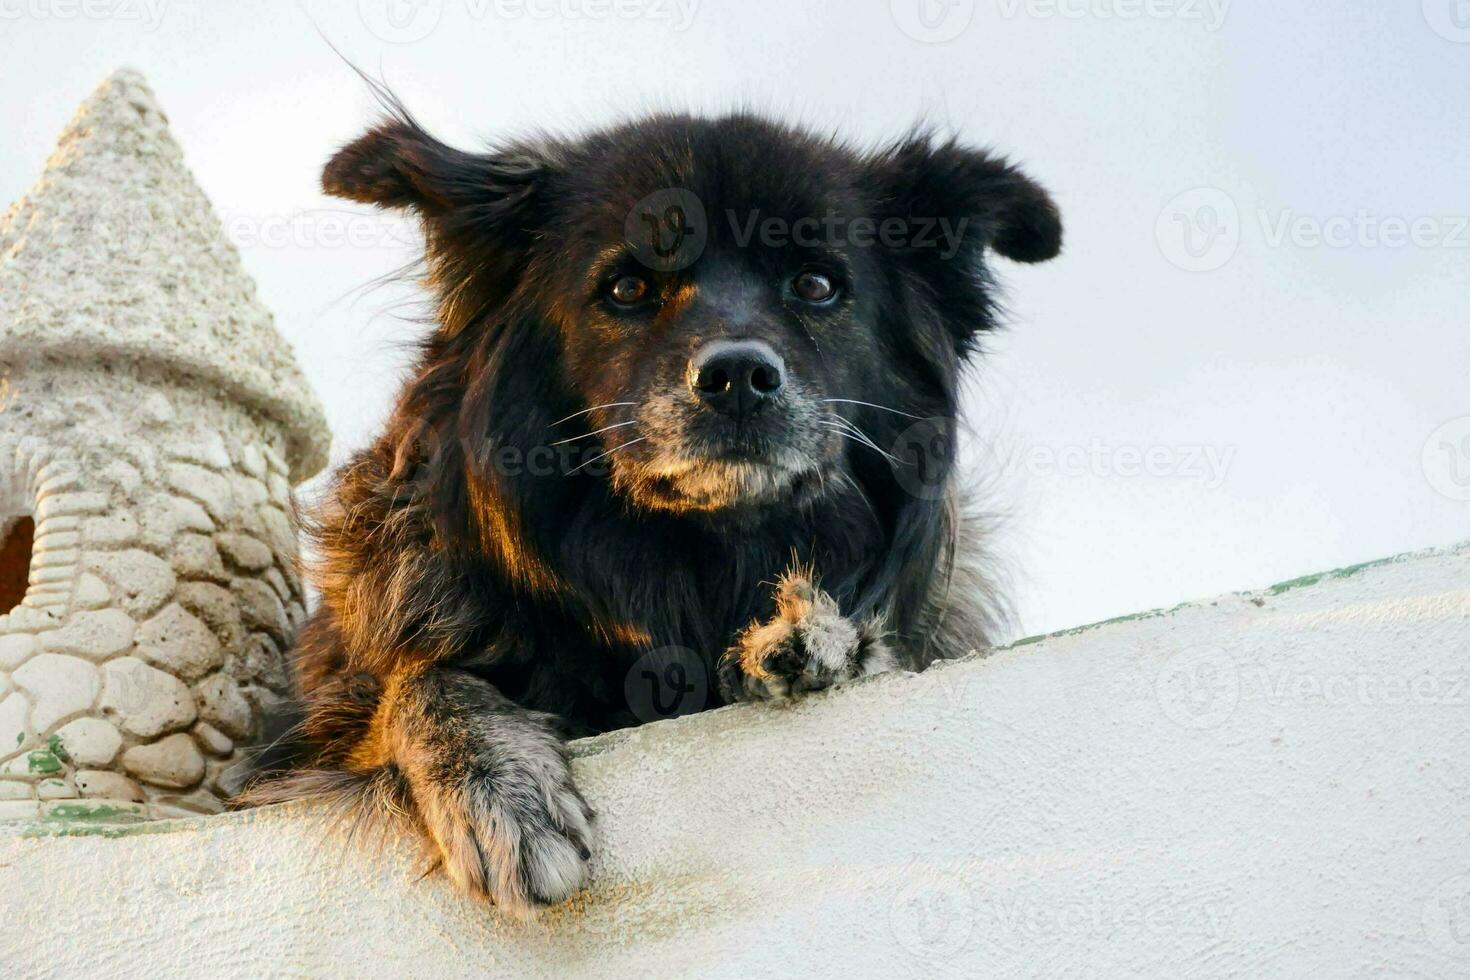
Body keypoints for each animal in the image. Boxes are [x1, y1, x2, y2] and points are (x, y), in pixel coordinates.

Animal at [246, 99, 1064, 910]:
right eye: (627, 289)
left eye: (817, 284)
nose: (738, 379)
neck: (694, 569)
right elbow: (415, 681)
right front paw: (496, 786)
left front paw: (822, 636)